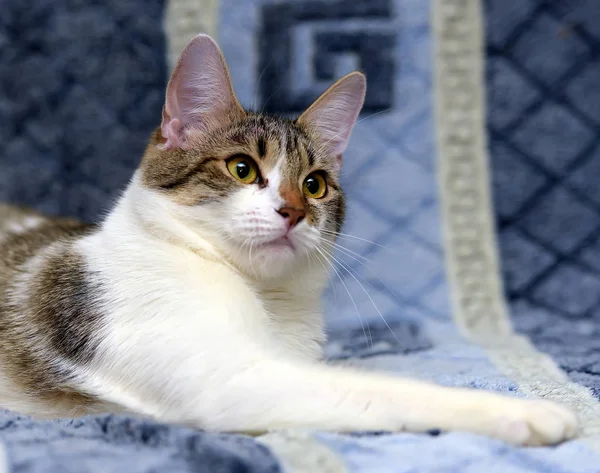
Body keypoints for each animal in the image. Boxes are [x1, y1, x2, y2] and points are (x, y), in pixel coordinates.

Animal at [0, 35, 576, 444]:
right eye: (241, 168)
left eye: (315, 184)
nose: (294, 210)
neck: (266, 298)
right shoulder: (232, 381)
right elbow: (386, 390)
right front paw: (522, 412)